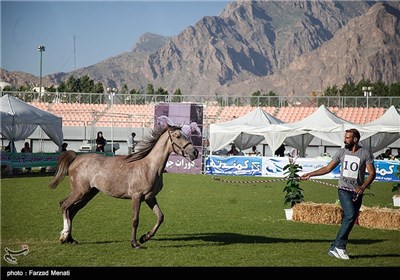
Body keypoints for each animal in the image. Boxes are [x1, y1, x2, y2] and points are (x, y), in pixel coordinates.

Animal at [49, 126, 199, 248]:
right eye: (178, 136)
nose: (195, 152)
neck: (149, 167)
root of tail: (76, 158)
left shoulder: (150, 198)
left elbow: (160, 217)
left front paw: (145, 237)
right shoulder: (136, 197)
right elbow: (135, 220)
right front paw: (135, 243)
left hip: (89, 194)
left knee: (72, 211)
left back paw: (71, 239)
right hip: (79, 191)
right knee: (64, 205)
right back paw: (64, 236)